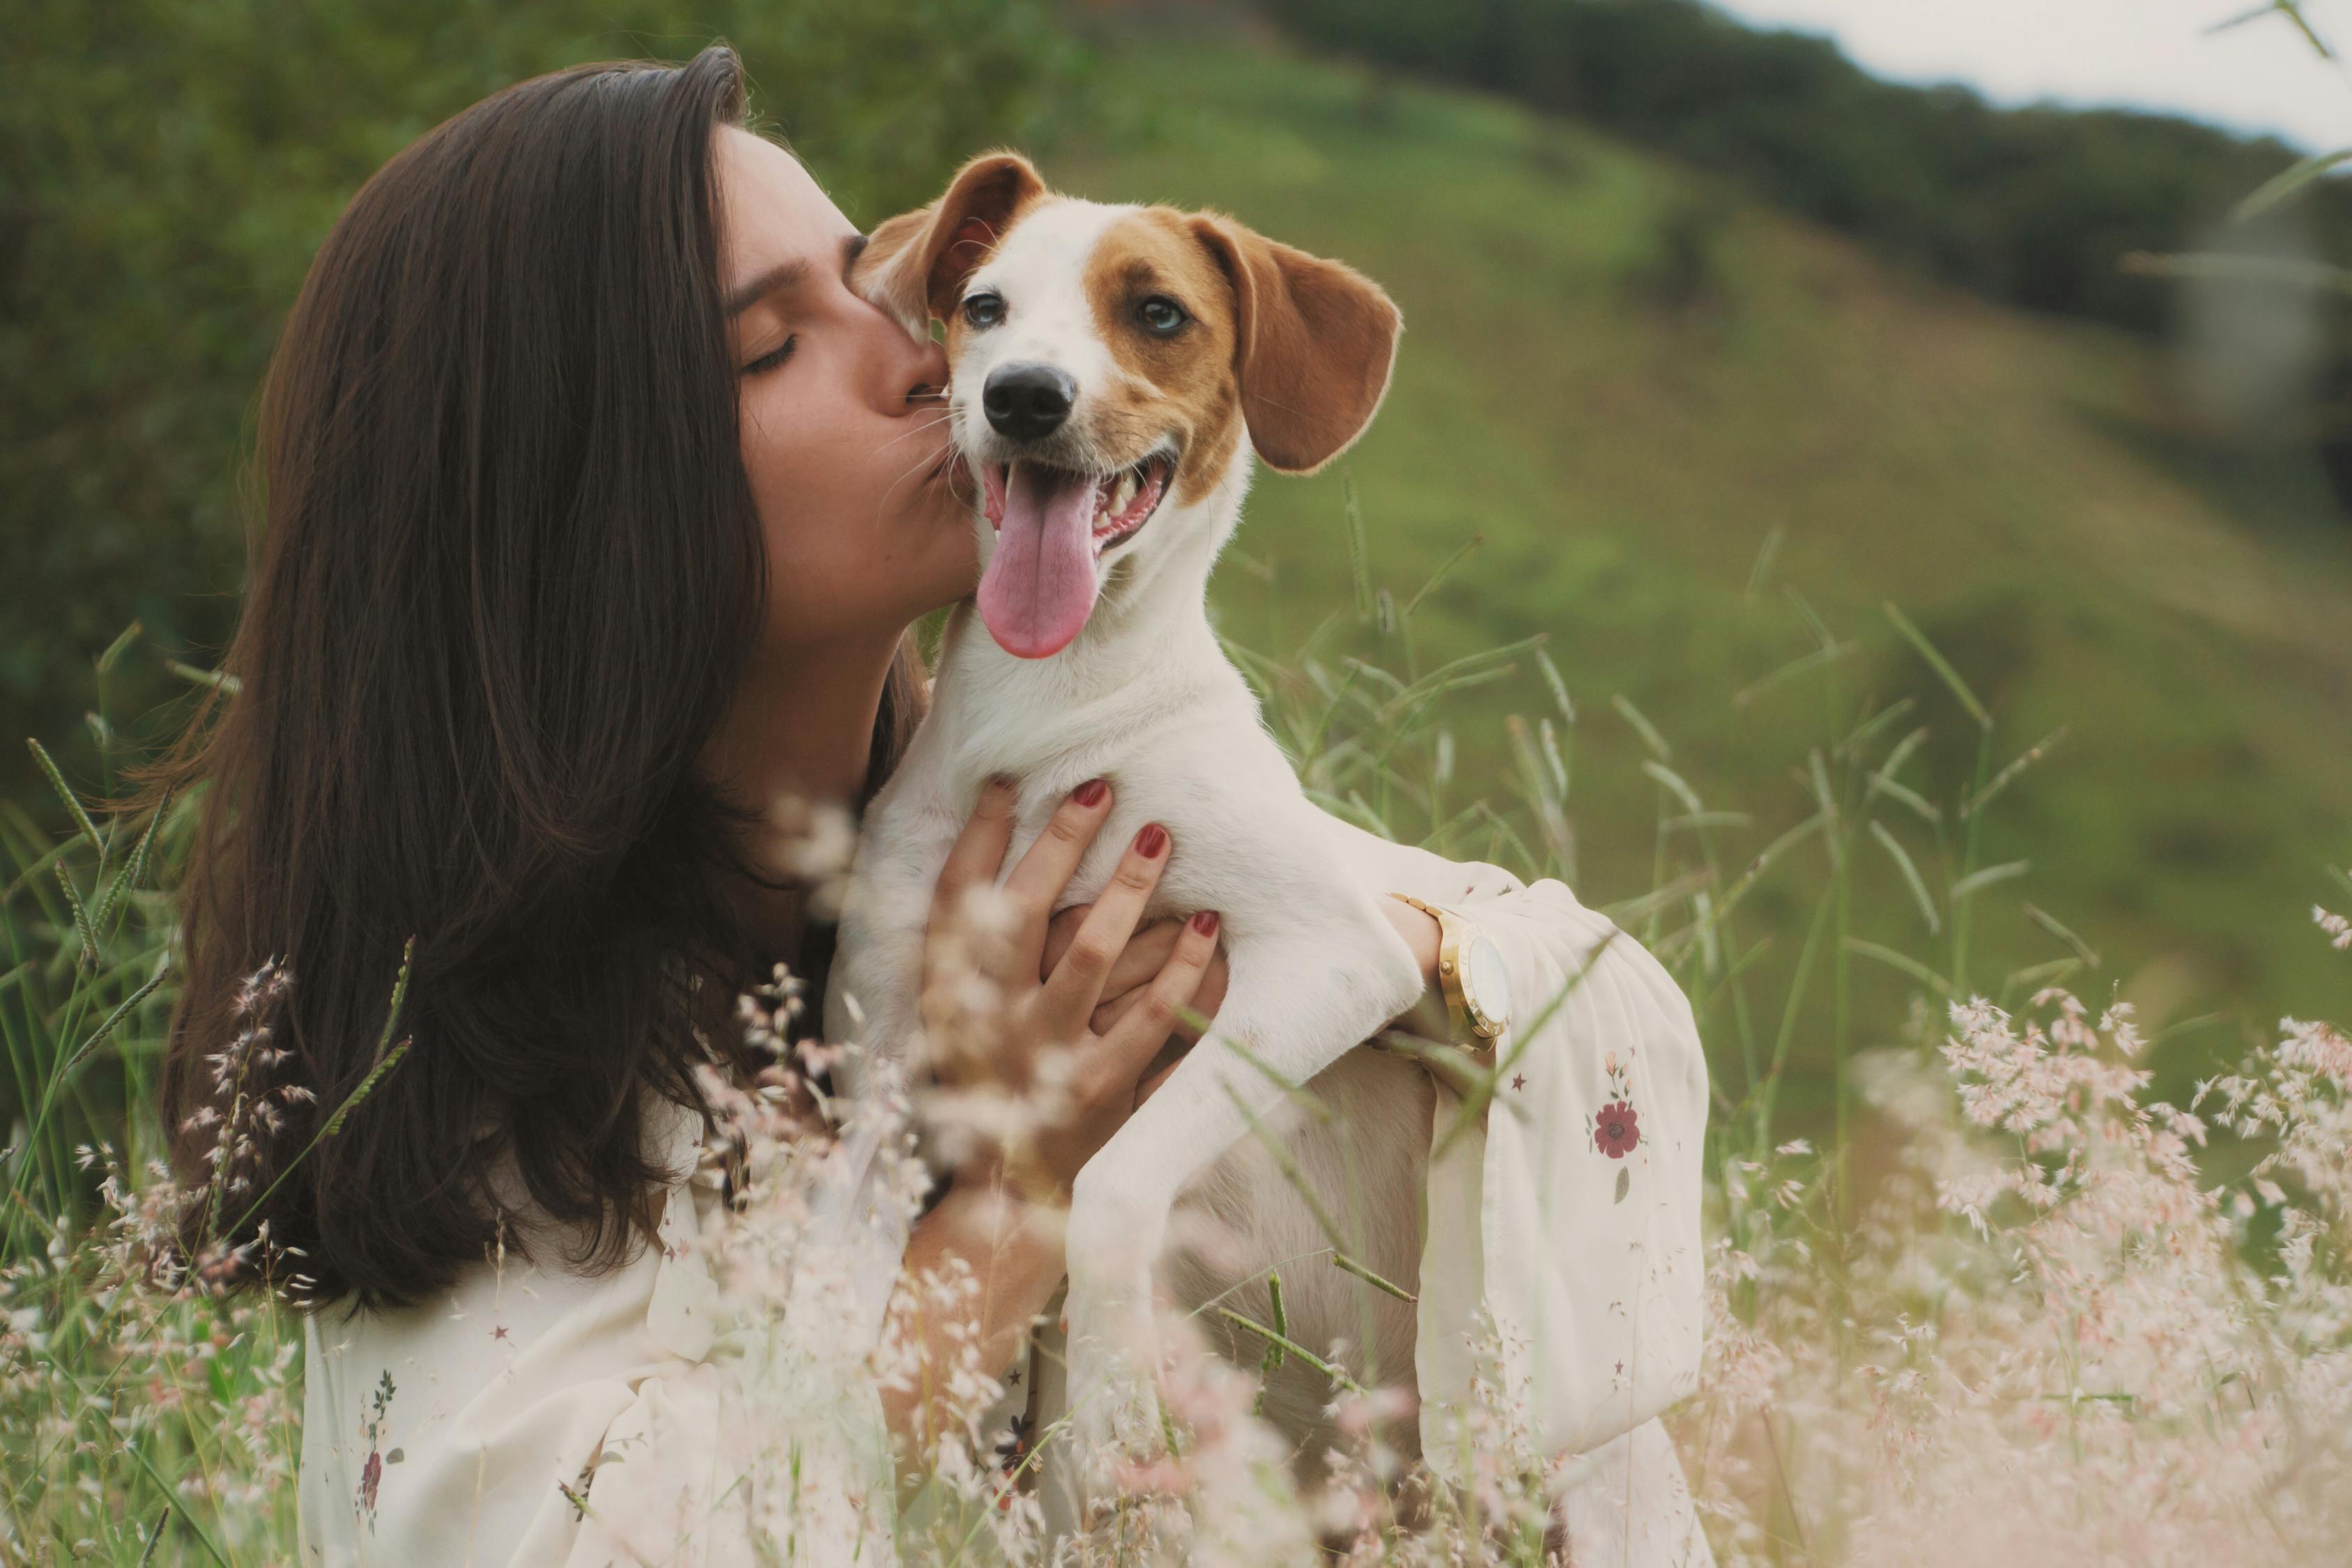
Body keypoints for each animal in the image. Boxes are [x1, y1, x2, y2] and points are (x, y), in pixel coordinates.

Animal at [837, 153, 1439, 1514]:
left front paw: (1117, 1391)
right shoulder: (881, 1048)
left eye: (1157, 312)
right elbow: (832, 1261)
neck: (1051, 709)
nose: (1020, 395)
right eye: (985, 307)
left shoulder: (1330, 954)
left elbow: (1111, 1187)